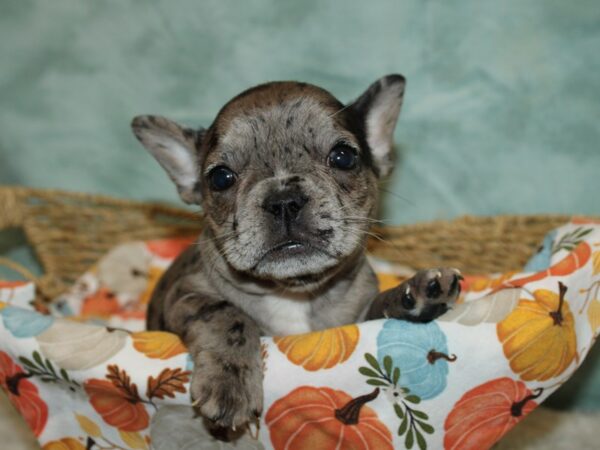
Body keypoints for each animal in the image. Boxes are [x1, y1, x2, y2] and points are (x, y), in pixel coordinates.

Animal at [131, 74, 460, 440]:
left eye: (343, 157)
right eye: (220, 177)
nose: (283, 199)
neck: (293, 290)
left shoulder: (356, 319)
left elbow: (377, 309)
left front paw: (411, 294)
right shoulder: (184, 295)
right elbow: (227, 314)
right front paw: (230, 382)